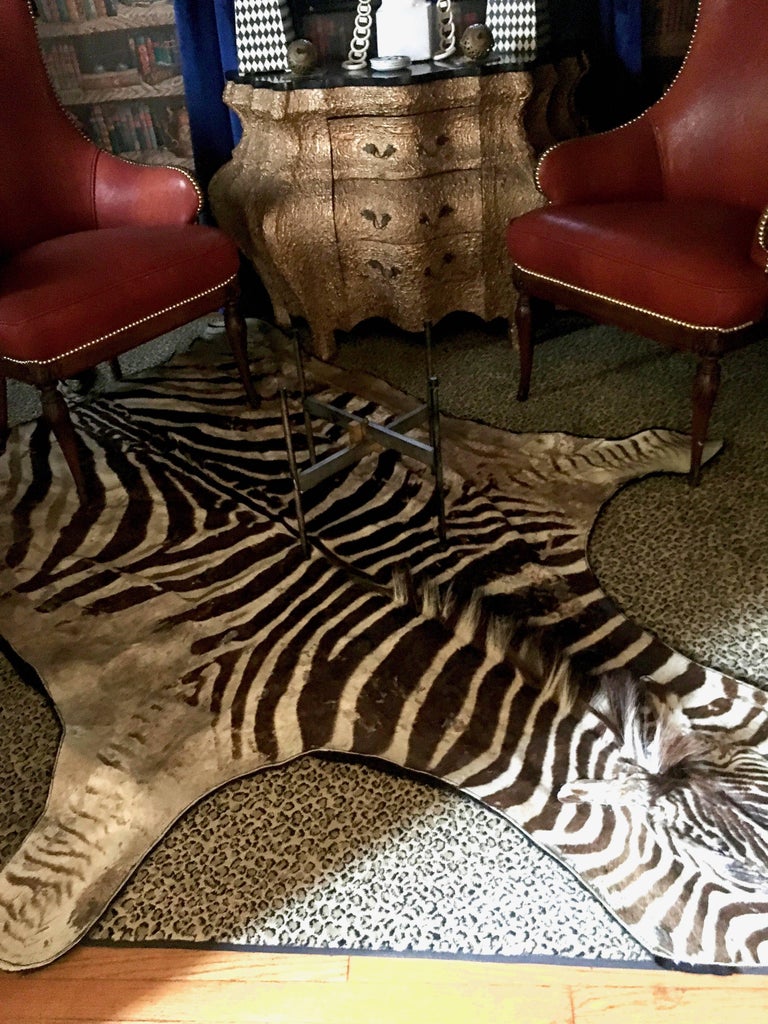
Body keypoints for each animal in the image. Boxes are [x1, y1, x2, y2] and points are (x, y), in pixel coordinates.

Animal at [1, 332, 767, 971]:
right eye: (732, 875)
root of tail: (91, 400)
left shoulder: (526, 495)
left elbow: (607, 449)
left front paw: (688, 447)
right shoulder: (172, 716)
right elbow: (42, 906)